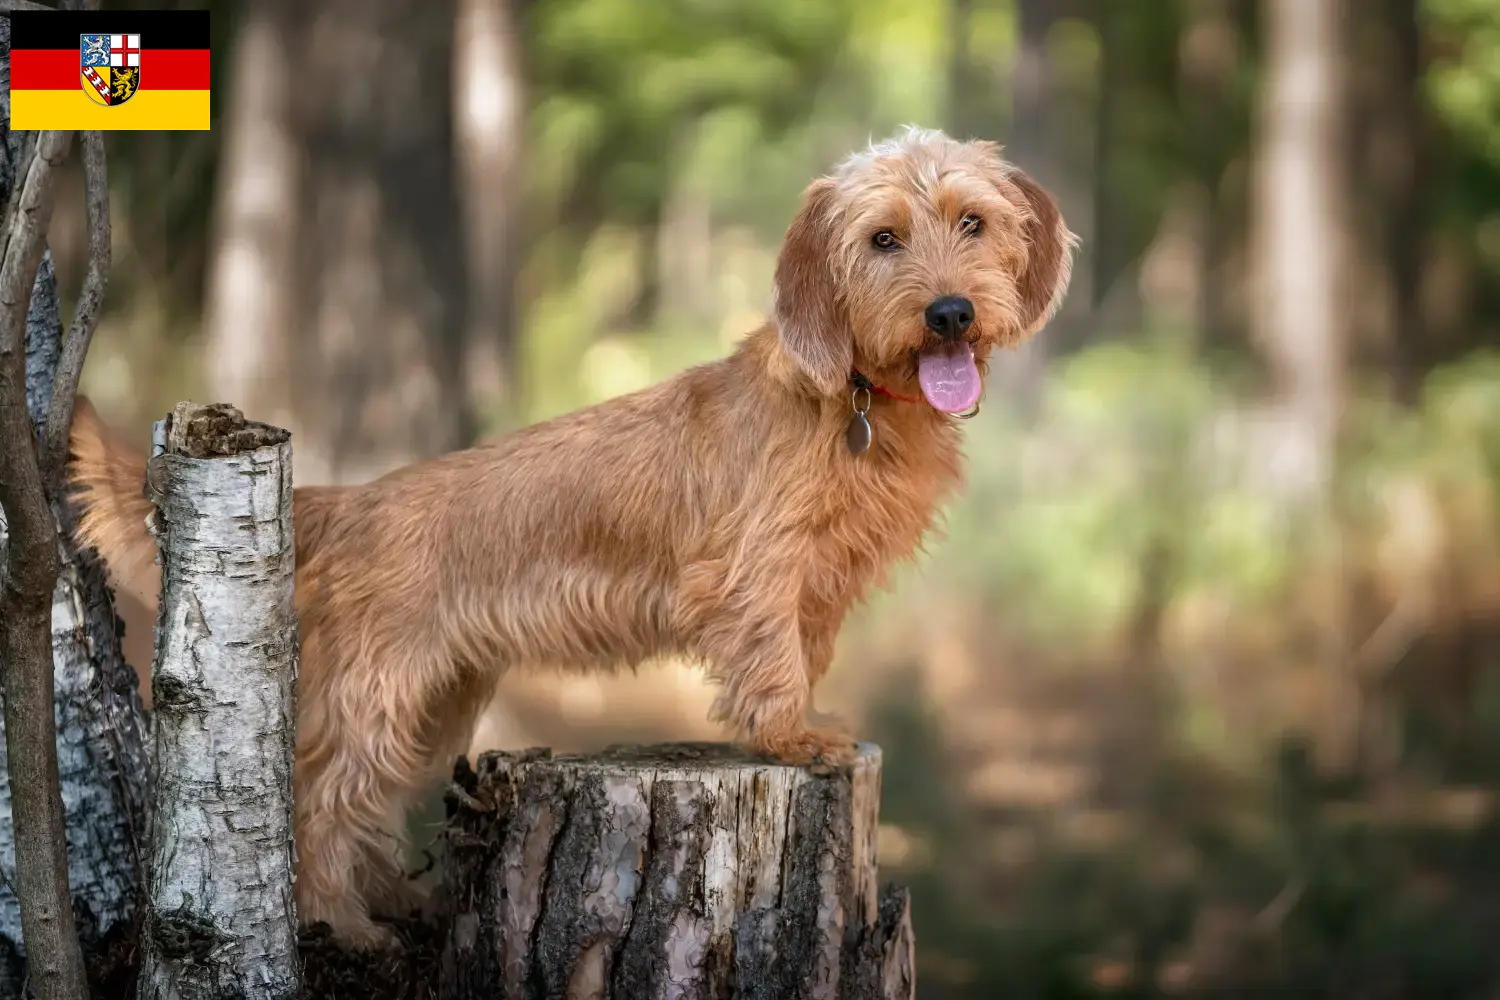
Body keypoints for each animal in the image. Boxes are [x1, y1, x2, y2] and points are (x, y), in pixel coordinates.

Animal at [70, 127, 1074, 947]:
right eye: (882, 239)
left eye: (973, 222)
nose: (949, 312)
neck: (857, 401)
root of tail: (348, 499)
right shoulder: (756, 570)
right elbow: (773, 658)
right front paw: (789, 735)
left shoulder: (819, 586)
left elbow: (805, 652)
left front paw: (800, 727)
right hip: (374, 698)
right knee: (321, 804)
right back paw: (342, 926)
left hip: (438, 704)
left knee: (366, 812)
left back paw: (395, 899)